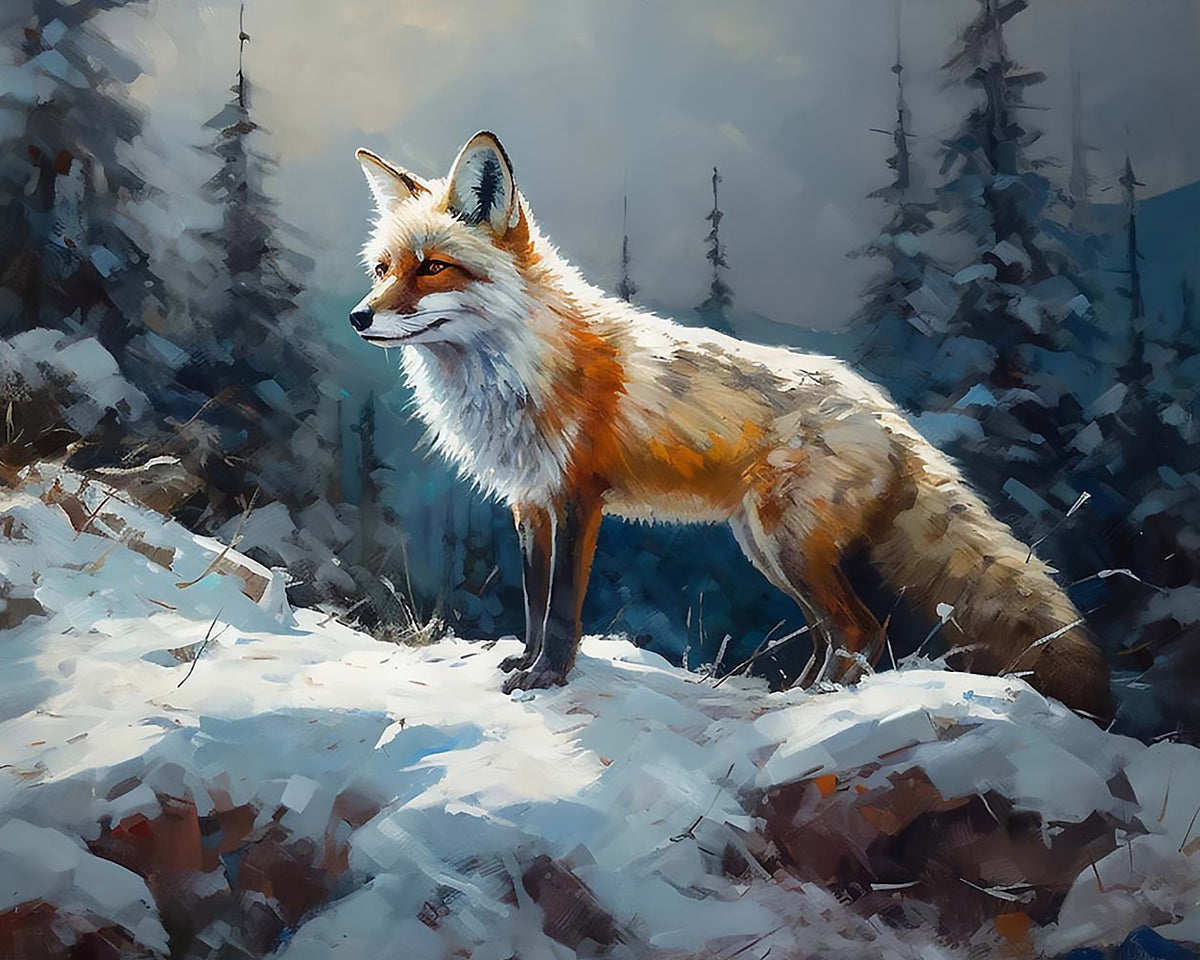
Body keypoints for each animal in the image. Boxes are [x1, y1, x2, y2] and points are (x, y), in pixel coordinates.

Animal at [348, 130, 1113, 719]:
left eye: (434, 267)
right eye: (384, 269)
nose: (358, 318)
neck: (514, 372)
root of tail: (883, 407)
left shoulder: (577, 498)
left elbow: (563, 610)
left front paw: (549, 679)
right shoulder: (530, 502)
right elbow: (535, 607)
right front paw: (526, 666)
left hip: (789, 546)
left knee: (865, 630)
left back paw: (814, 704)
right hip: (769, 550)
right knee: (834, 634)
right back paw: (791, 695)